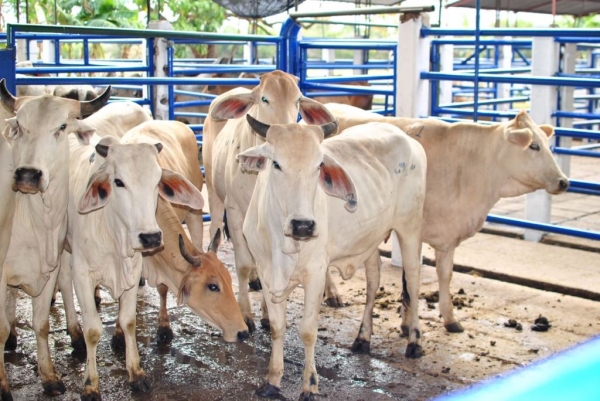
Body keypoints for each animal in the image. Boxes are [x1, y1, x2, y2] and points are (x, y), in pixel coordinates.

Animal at [0, 78, 109, 396]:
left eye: (61, 127)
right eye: (20, 126)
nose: (27, 175)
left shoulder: (50, 267)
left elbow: (41, 323)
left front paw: (49, 376)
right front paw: (3, 386)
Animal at [67, 127, 204, 396]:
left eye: (157, 182)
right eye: (118, 182)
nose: (151, 237)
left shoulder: (134, 268)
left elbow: (128, 320)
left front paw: (136, 373)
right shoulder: (81, 274)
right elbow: (92, 329)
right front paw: (90, 385)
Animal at [203, 69, 338, 332]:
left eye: (297, 100)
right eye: (265, 98)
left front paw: (266, 313)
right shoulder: (235, 212)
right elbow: (244, 264)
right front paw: (246, 315)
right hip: (214, 192)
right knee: (215, 227)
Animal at [239, 115, 426, 396]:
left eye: (319, 165)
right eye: (276, 163)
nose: (303, 225)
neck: (284, 245)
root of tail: (408, 138)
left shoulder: (316, 274)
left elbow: (307, 331)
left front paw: (310, 385)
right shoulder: (265, 272)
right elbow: (277, 327)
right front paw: (272, 380)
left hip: (410, 229)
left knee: (413, 282)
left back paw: (414, 341)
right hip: (369, 240)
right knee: (373, 281)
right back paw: (363, 338)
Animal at [324, 103, 568, 332]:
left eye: (548, 145)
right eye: (534, 146)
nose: (564, 182)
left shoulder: (445, 236)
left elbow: (444, 274)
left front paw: (449, 318)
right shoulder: (413, 229)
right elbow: (409, 279)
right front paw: (408, 323)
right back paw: (333, 293)